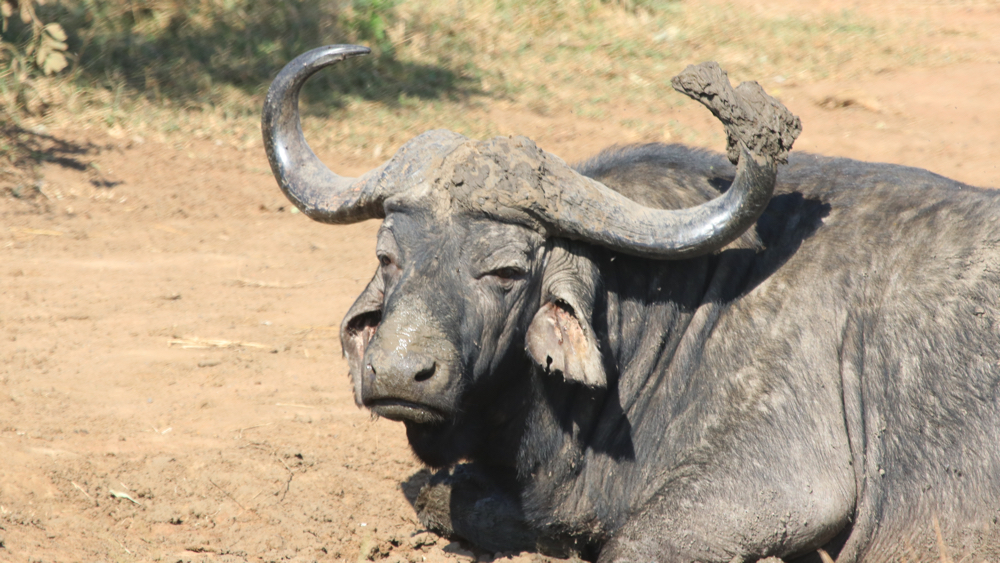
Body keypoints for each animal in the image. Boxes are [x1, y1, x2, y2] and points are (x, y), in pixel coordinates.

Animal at [262, 45, 1000, 562]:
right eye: (388, 257)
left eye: (505, 270)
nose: (397, 372)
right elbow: (441, 495)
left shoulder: (783, 481)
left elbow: (628, 541)